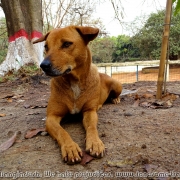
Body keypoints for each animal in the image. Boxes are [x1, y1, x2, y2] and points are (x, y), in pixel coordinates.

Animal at [32, 25, 122, 165]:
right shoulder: (51, 118)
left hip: (117, 84)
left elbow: (91, 127)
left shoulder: (89, 112)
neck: (73, 81)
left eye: (67, 44)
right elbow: (62, 131)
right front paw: (70, 148)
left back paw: (115, 99)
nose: (43, 65)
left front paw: (95, 142)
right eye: (46, 47)